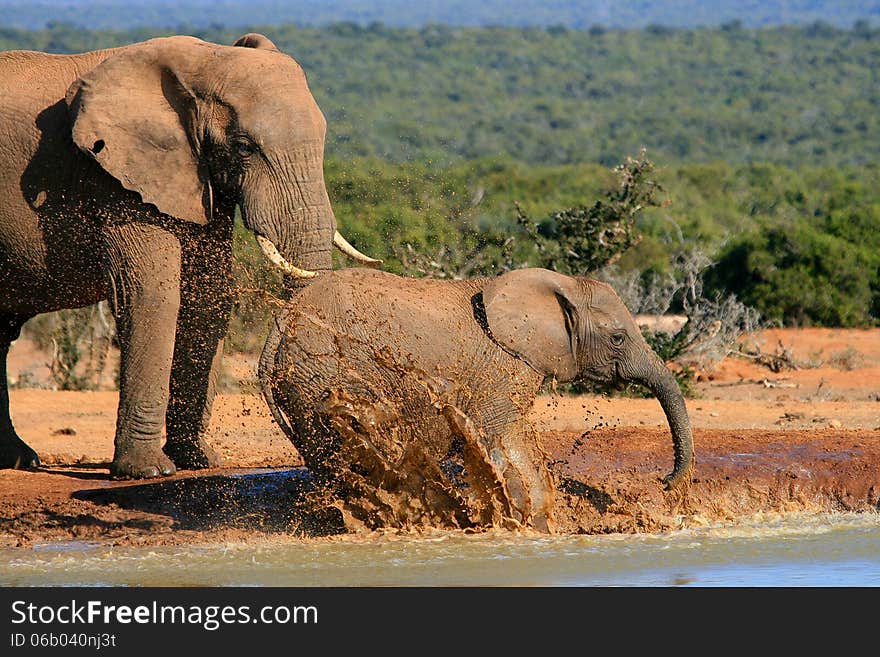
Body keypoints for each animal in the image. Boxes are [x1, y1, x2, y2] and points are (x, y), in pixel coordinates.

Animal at [0, 32, 378, 476]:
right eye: (244, 147)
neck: (201, 62)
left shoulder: (198, 176)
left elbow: (208, 296)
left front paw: (199, 460)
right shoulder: (113, 175)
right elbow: (154, 294)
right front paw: (149, 470)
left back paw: (19, 460)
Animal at [262, 266, 696, 532]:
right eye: (618, 338)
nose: (664, 483)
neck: (560, 284)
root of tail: (280, 322)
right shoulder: (500, 366)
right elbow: (502, 436)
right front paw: (529, 525)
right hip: (327, 370)